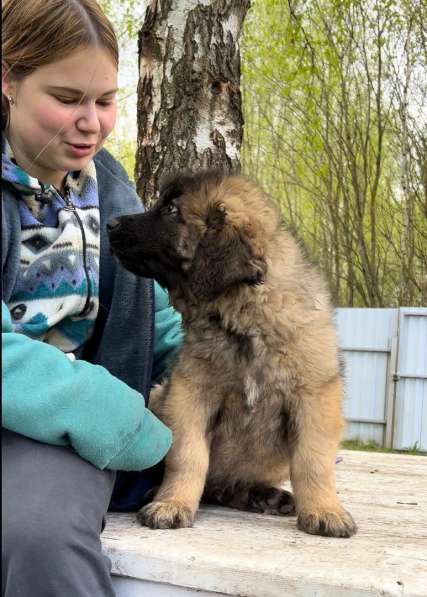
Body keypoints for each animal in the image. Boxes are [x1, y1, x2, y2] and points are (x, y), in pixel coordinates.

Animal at [108, 170, 358, 536]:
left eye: (171, 210)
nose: (110, 223)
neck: (245, 320)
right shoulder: (189, 394)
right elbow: (188, 455)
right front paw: (173, 503)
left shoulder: (314, 397)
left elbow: (313, 460)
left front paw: (325, 510)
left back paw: (264, 495)